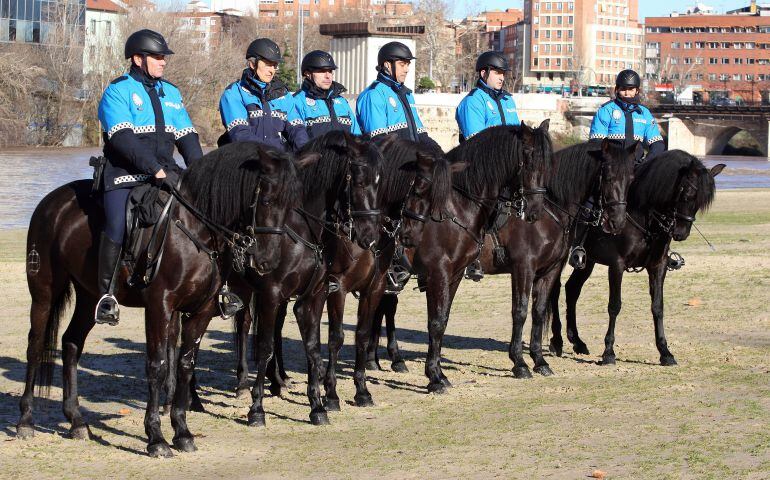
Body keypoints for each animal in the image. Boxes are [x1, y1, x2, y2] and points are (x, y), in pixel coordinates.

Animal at [17, 142, 314, 457]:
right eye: (267, 201)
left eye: (293, 205)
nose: (268, 260)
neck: (195, 228)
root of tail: (52, 202)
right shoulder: (159, 307)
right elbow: (158, 365)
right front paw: (156, 438)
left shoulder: (201, 310)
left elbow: (185, 364)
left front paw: (182, 432)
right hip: (44, 292)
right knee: (35, 346)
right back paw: (26, 421)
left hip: (88, 297)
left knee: (71, 344)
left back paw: (76, 421)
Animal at [548, 151, 724, 366]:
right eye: (687, 194)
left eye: (701, 203)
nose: (681, 233)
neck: (643, 215)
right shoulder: (616, 265)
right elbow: (614, 306)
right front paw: (608, 352)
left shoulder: (658, 266)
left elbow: (658, 306)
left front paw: (665, 352)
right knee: (555, 289)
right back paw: (557, 341)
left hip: (587, 261)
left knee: (572, 289)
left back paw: (577, 342)